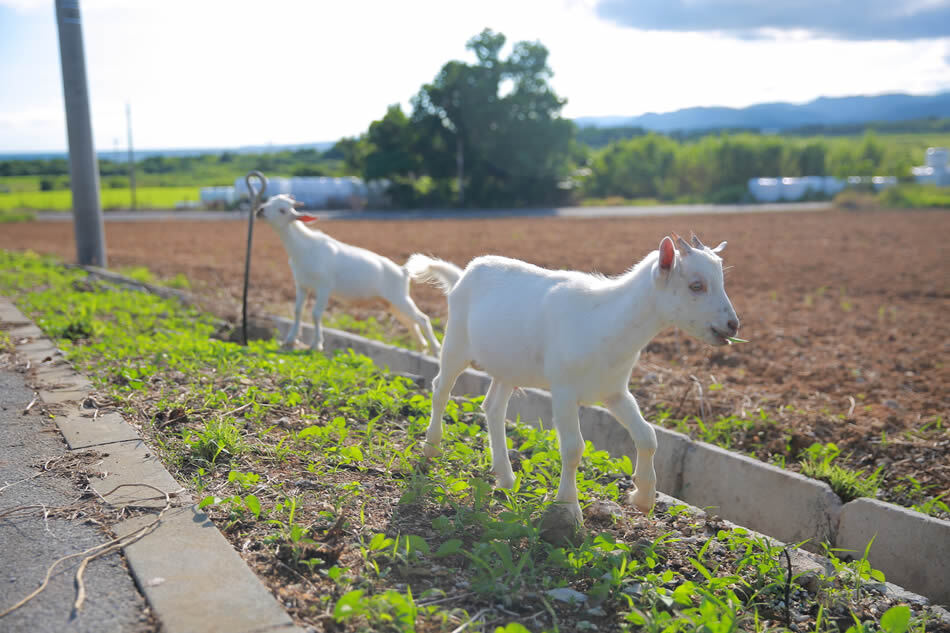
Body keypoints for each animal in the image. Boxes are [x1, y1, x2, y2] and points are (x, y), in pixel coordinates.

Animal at [406, 232, 740, 528]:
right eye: (696, 285)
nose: (732, 325)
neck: (605, 320)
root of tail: (462, 275)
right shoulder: (564, 390)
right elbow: (573, 448)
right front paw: (568, 507)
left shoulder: (614, 391)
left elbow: (647, 436)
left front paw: (643, 498)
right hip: (456, 341)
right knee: (441, 389)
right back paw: (431, 448)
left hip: (508, 365)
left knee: (493, 407)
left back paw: (506, 477)